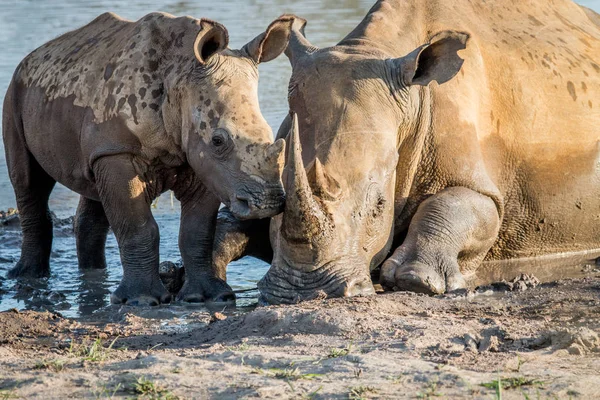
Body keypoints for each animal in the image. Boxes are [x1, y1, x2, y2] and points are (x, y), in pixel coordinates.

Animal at [2, 11, 296, 306]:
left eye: (269, 133)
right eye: (218, 140)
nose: (268, 204)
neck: (180, 76)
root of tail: (33, 55)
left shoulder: (202, 162)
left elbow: (197, 231)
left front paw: (208, 297)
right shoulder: (120, 151)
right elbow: (138, 226)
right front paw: (141, 300)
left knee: (91, 186)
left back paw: (93, 274)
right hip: (16, 92)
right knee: (29, 181)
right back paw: (27, 276)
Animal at [213, 1, 600, 304]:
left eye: (378, 206)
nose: (305, 291)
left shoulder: (485, 185)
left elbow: (460, 205)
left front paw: (414, 279)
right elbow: (240, 216)